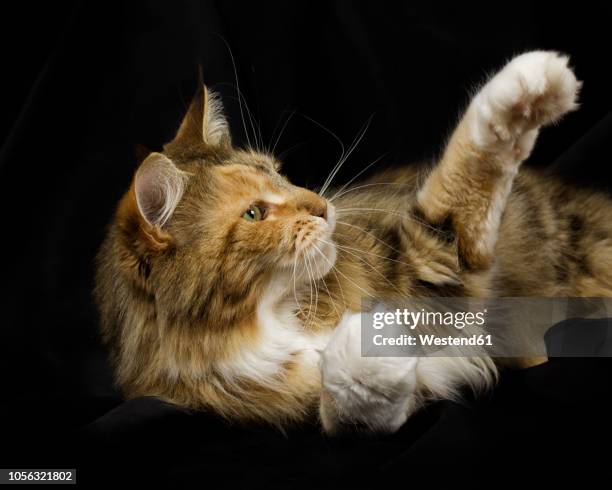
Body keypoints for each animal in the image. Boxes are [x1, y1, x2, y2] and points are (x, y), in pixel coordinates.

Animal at [93, 50, 608, 432]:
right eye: (254, 213)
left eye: (280, 173)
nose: (321, 206)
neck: (273, 319)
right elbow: (347, 400)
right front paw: (366, 353)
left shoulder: (441, 266)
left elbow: (466, 164)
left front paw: (529, 85)